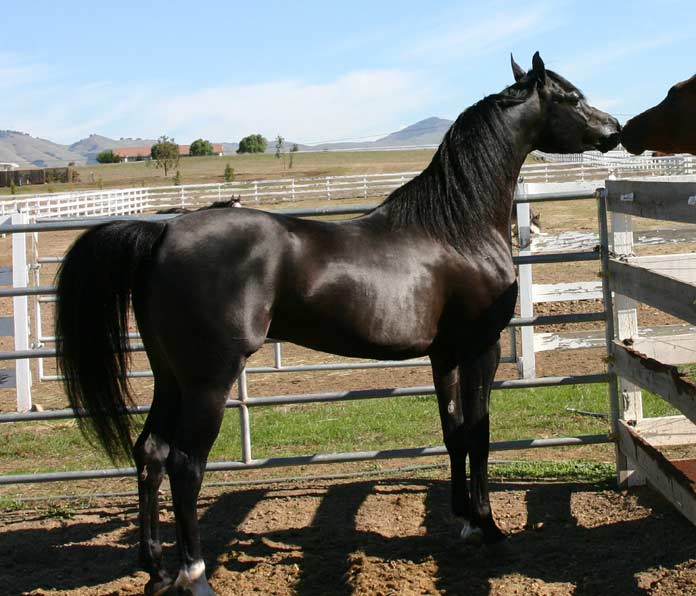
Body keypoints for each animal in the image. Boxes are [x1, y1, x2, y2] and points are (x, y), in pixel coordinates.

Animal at [55, 53, 620, 592]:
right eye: (572, 97)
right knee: (184, 464)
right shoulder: (481, 347)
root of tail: (162, 235)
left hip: (171, 375)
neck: (457, 229)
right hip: (208, 380)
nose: (614, 128)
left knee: (149, 452)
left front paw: (462, 522)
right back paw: (193, 572)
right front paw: (490, 527)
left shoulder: (444, 354)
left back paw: (156, 569)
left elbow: (455, 432)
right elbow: (479, 434)